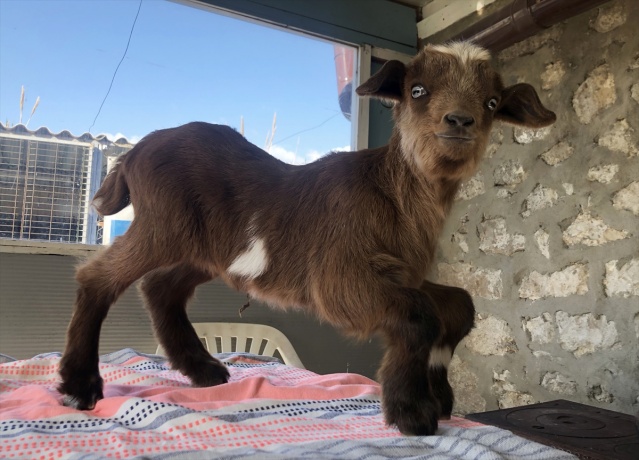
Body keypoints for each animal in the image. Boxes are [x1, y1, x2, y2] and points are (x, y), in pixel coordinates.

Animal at [62, 42, 556, 434]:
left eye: (492, 102)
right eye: (417, 91)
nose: (460, 120)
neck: (393, 195)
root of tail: (132, 154)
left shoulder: (404, 274)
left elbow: (457, 305)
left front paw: (439, 393)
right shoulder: (339, 279)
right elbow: (420, 316)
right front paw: (412, 411)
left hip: (203, 250)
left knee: (161, 288)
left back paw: (203, 371)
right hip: (161, 225)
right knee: (97, 277)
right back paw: (79, 385)